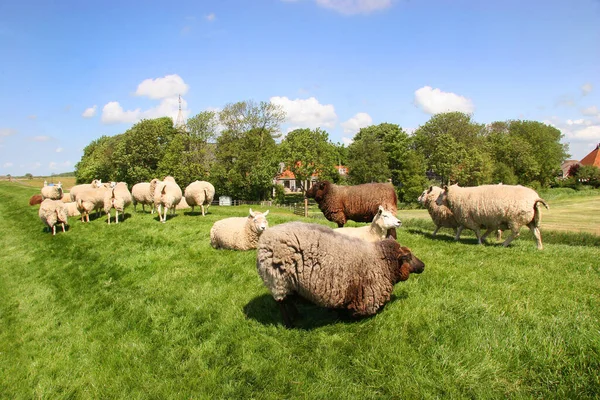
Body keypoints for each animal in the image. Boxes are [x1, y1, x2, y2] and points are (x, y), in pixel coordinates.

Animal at [255, 222, 424, 328]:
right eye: (408, 257)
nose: (423, 266)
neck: (380, 260)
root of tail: (264, 240)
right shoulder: (365, 296)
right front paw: (343, 315)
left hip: (289, 282)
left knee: (289, 300)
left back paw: (298, 316)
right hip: (278, 279)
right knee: (282, 303)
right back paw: (289, 324)